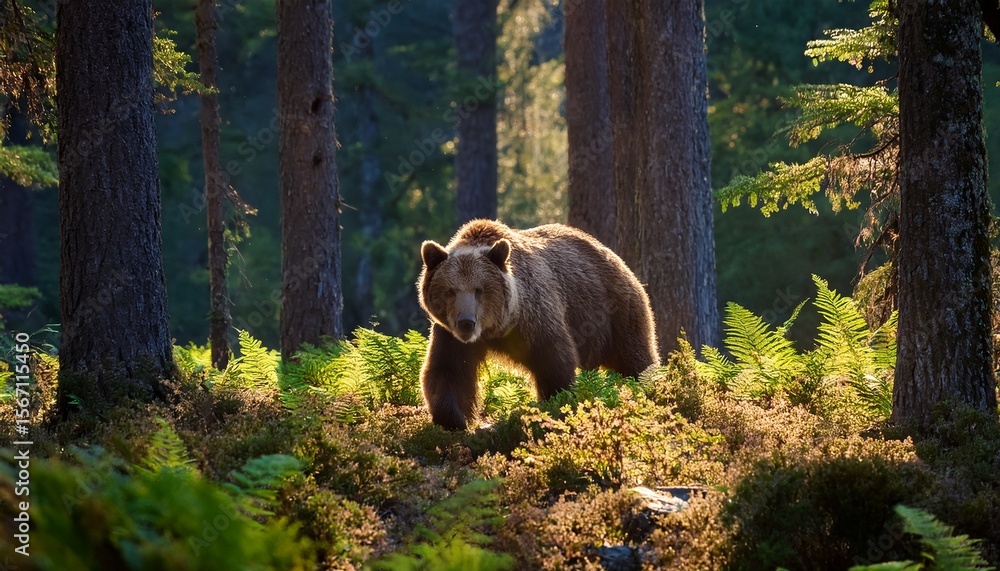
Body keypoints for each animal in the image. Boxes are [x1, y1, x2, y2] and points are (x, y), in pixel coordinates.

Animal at [417, 219, 660, 430]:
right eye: (450, 291)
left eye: (479, 289)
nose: (466, 323)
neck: (496, 329)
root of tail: (615, 257)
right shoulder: (450, 334)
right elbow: (449, 370)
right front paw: (453, 420)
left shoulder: (535, 318)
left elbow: (554, 362)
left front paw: (556, 405)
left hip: (615, 313)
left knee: (635, 360)